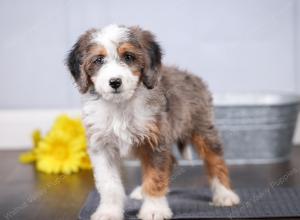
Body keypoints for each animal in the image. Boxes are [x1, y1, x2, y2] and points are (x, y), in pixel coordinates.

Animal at [67, 24, 240, 220]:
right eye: (99, 60)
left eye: (128, 57)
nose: (115, 82)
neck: (121, 107)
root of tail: (191, 76)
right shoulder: (102, 147)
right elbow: (109, 185)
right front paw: (109, 212)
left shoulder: (155, 143)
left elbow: (155, 177)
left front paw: (154, 209)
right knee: (172, 160)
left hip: (203, 129)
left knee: (215, 160)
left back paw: (224, 194)